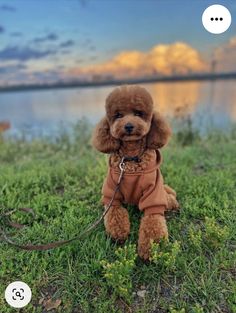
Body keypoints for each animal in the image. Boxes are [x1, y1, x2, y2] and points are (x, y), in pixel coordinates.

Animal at [92, 84, 179, 258]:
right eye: (118, 115)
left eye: (139, 113)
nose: (129, 126)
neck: (131, 158)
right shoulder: (112, 192)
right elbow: (114, 213)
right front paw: (119, 233)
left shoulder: (153, 192)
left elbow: (153, 221)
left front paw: (151, 248)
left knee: (168, 197)